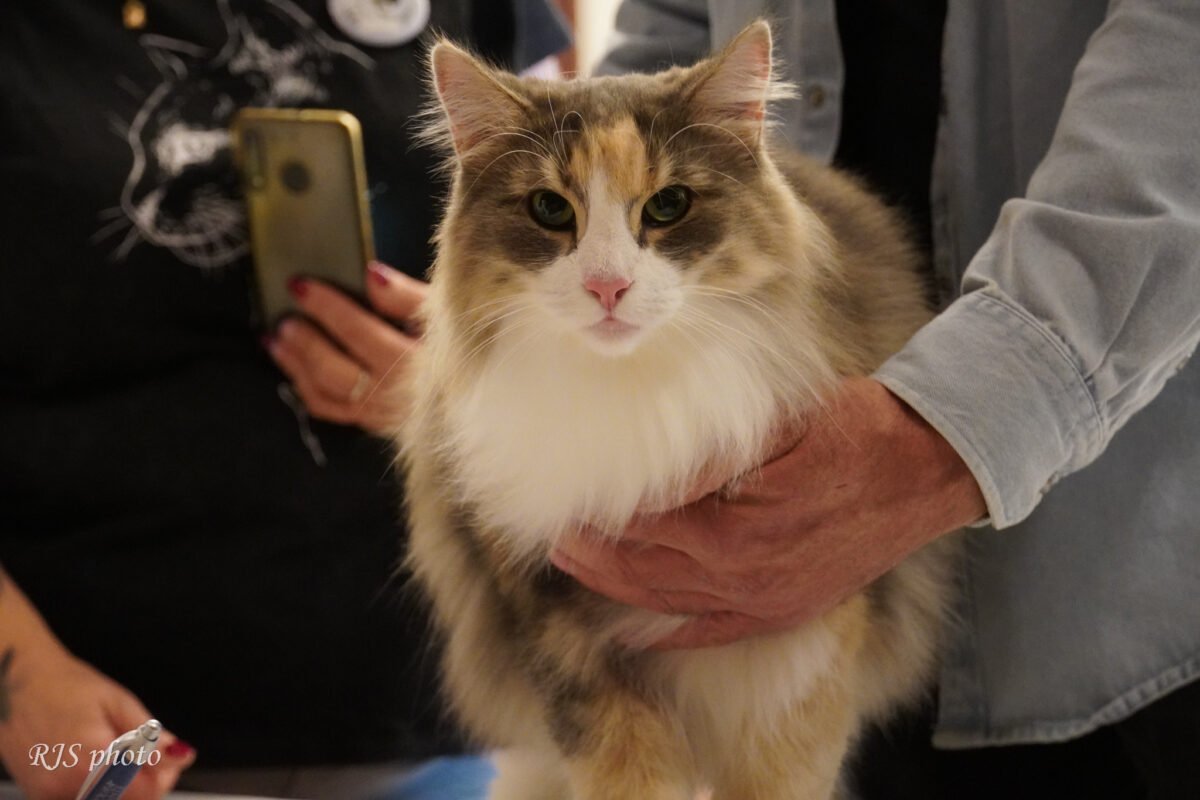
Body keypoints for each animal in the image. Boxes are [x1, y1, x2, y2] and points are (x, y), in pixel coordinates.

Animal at [400, 20, 957, 800]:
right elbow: (628, 776)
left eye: (668, 206)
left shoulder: (800, 657)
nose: (607, 286)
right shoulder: (563, 647)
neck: (634, 396)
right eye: (550, 209)